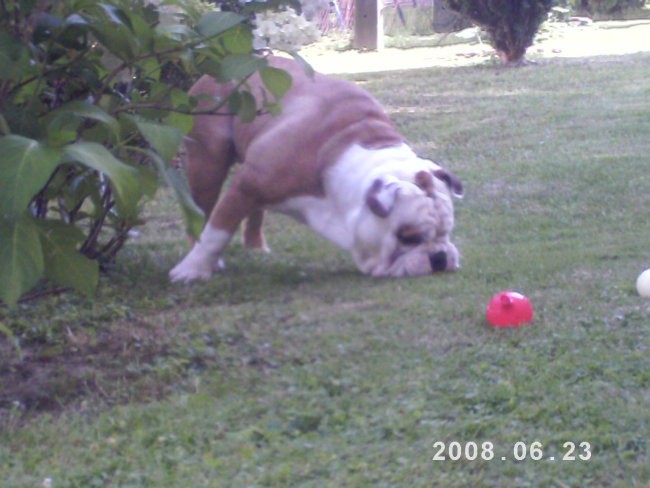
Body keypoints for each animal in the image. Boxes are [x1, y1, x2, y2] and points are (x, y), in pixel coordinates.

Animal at [169, 55, 463, 282]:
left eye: (446, 232)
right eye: (409, 238)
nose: (439, 257)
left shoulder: (251, 185)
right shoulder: (246, 187)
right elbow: (216, 234)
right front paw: (191, 270)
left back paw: (255, 248)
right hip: (208, 163)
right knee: (202, 212)